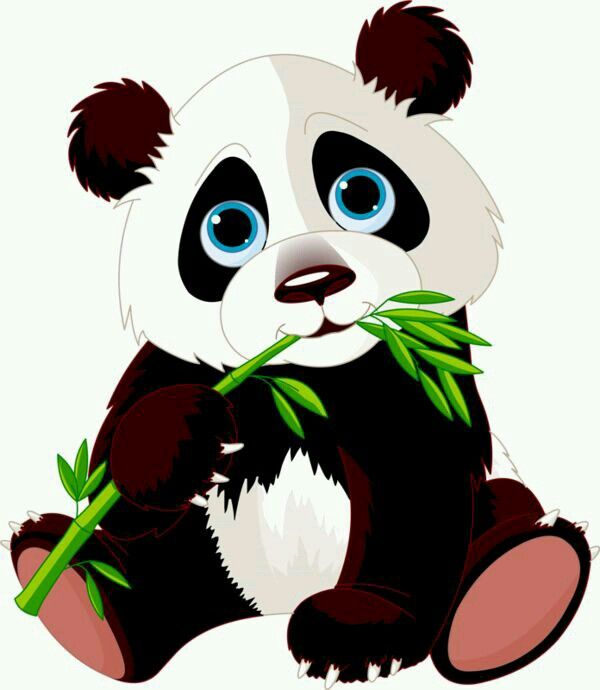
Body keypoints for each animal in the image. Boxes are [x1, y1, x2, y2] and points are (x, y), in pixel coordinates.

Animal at [7, 2, 594, 686]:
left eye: (361, 193)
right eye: (229, 227)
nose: (313, 283)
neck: (308, 376)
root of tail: (269, 602)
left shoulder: (416, 374)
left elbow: (417, 486)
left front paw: (357, 629)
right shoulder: (183, 367)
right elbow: (123, 481)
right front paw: (184, 435)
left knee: (507, 510)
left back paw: (515, 586)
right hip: (202, 556)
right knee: (143, 568)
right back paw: (71, 590)